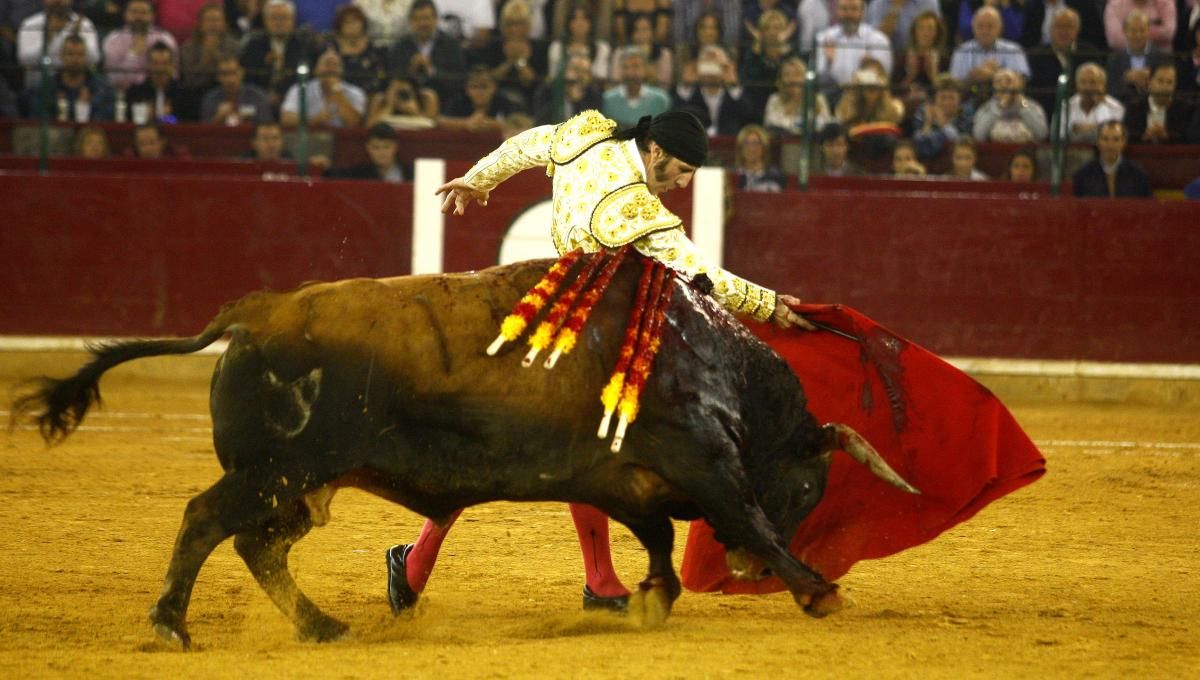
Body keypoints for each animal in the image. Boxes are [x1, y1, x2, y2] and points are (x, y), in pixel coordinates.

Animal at [11, 257, 916, 652]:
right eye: (810, 482)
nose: (747, 575)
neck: (714, 359)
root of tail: (256, 311)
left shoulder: (631, 481)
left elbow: (656, 538)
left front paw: (652, 598)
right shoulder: (705, 465)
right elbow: (743, 516)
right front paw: (818, 589)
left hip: (302, 484)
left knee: (259, 545)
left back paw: (324, 623)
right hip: (277, 471)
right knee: (208, 519)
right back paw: (171, 623)